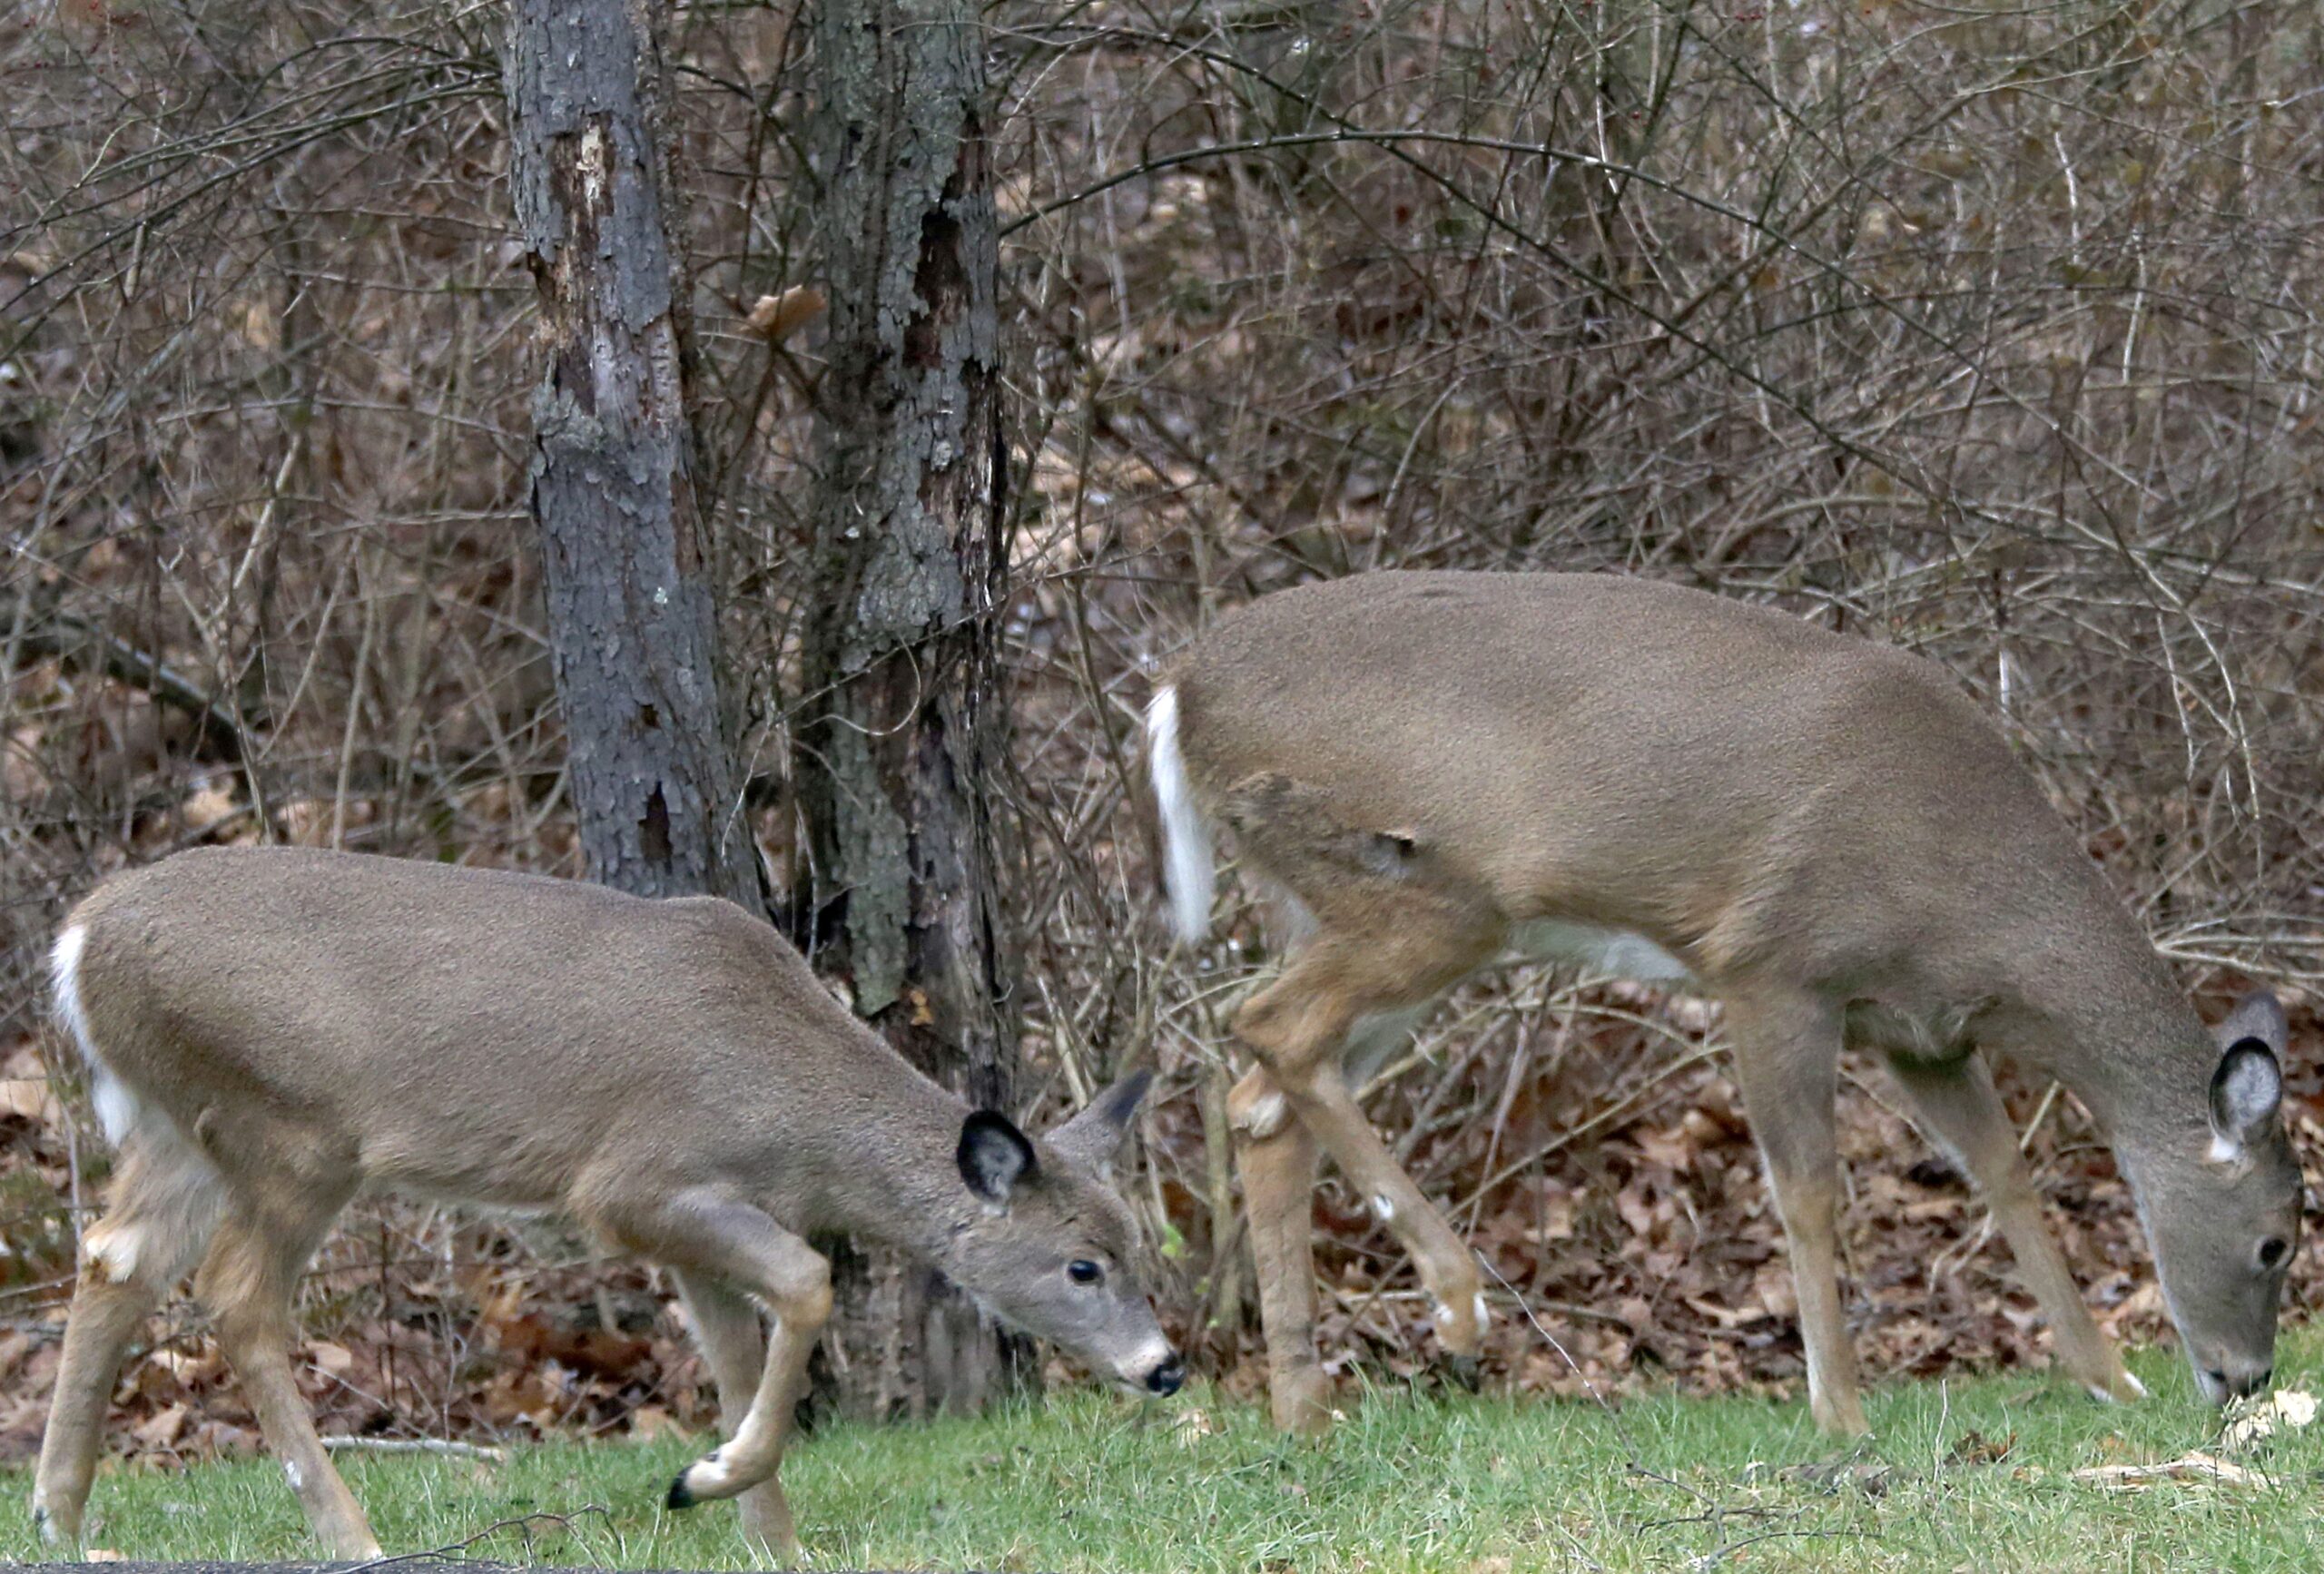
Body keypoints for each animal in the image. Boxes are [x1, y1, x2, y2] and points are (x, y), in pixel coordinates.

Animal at [27, 846, 1171, 1562]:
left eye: (1140, 1250)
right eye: (1081, 1265)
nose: (1164, 1367)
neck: (795, 1106)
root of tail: (77, 940)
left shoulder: (697, 1229)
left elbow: (737, 1359)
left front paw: (761, 1527)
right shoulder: (632, 1182)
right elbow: (807, 1282)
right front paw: (710, 1481)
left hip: (177, 1125)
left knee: (113, 1256)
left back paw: (59, 1520)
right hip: (290, 1130)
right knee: (235, 1294)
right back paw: (353, 1539)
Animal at [1147, 566, 2305, 1431]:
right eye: (2276, 1242)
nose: (2244, 1379)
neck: (1973, 905)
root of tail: (1177, 687)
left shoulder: (1918, 1028)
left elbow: (2004, 1177)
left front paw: (2107, 1380)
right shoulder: (1772, 967)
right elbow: (1808, 1191)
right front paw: (1840, 1414)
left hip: (1345, 912)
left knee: (1261, 1098)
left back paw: (1305, 1410)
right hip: (1421, 892)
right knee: (1266, 1027)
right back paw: (1455, 1304)